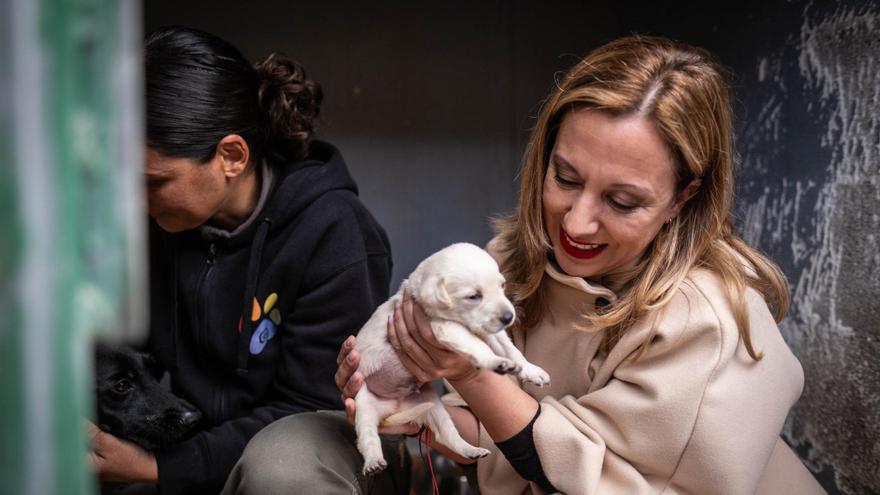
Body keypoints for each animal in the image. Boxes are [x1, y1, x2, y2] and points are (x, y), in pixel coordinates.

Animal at [352, 244, 548, 476]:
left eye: (502, 286)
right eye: (473, 296)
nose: (509, 317)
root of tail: (396, 407)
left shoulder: (489, 331)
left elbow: (510, 348)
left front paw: (530, 370)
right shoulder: (445, 326)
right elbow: (478, 345)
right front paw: (495, 361)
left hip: (432, 406)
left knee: (447, 434)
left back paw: (471, 450)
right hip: (365, 403)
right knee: (367, 437)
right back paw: (373, 462)